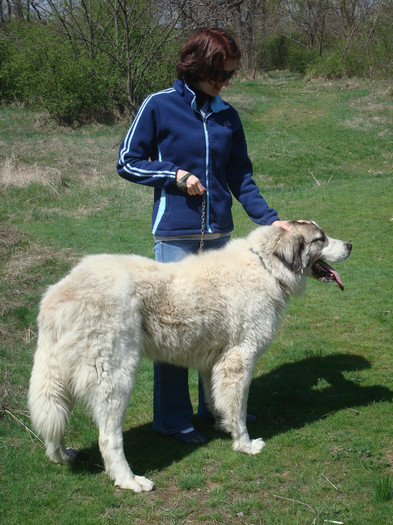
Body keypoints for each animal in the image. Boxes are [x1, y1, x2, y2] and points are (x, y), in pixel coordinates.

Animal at [29, 221, 350, 492]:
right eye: (320, 239)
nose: (349, 245)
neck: (265, 267)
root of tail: (58, 294)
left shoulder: (215, 362)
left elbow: (217, 399)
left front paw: (223, 425)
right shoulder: (239, 359)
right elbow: (239, 407)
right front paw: (244, 444)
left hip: (60, 376)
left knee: (53, 417)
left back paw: (60, 455)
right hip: (115, 377)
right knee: (108, 438)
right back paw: (129, 480)